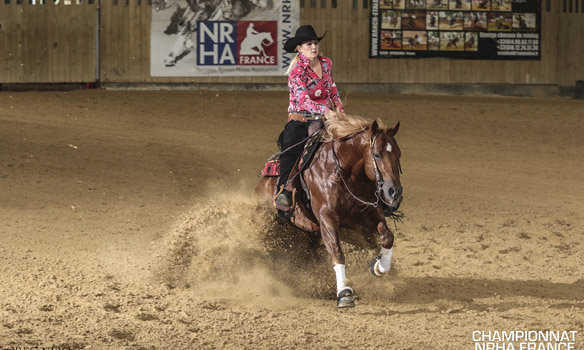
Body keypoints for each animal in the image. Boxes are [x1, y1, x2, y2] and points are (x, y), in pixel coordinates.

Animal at [256, 113, 402, 308]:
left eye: (399, 154)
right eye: (377, 154)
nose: (394, 192)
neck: (344, 173)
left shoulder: (369, 214)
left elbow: (387, 237)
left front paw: (379, 266)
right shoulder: (327, 217)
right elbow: (337, 252)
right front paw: (345, 293)